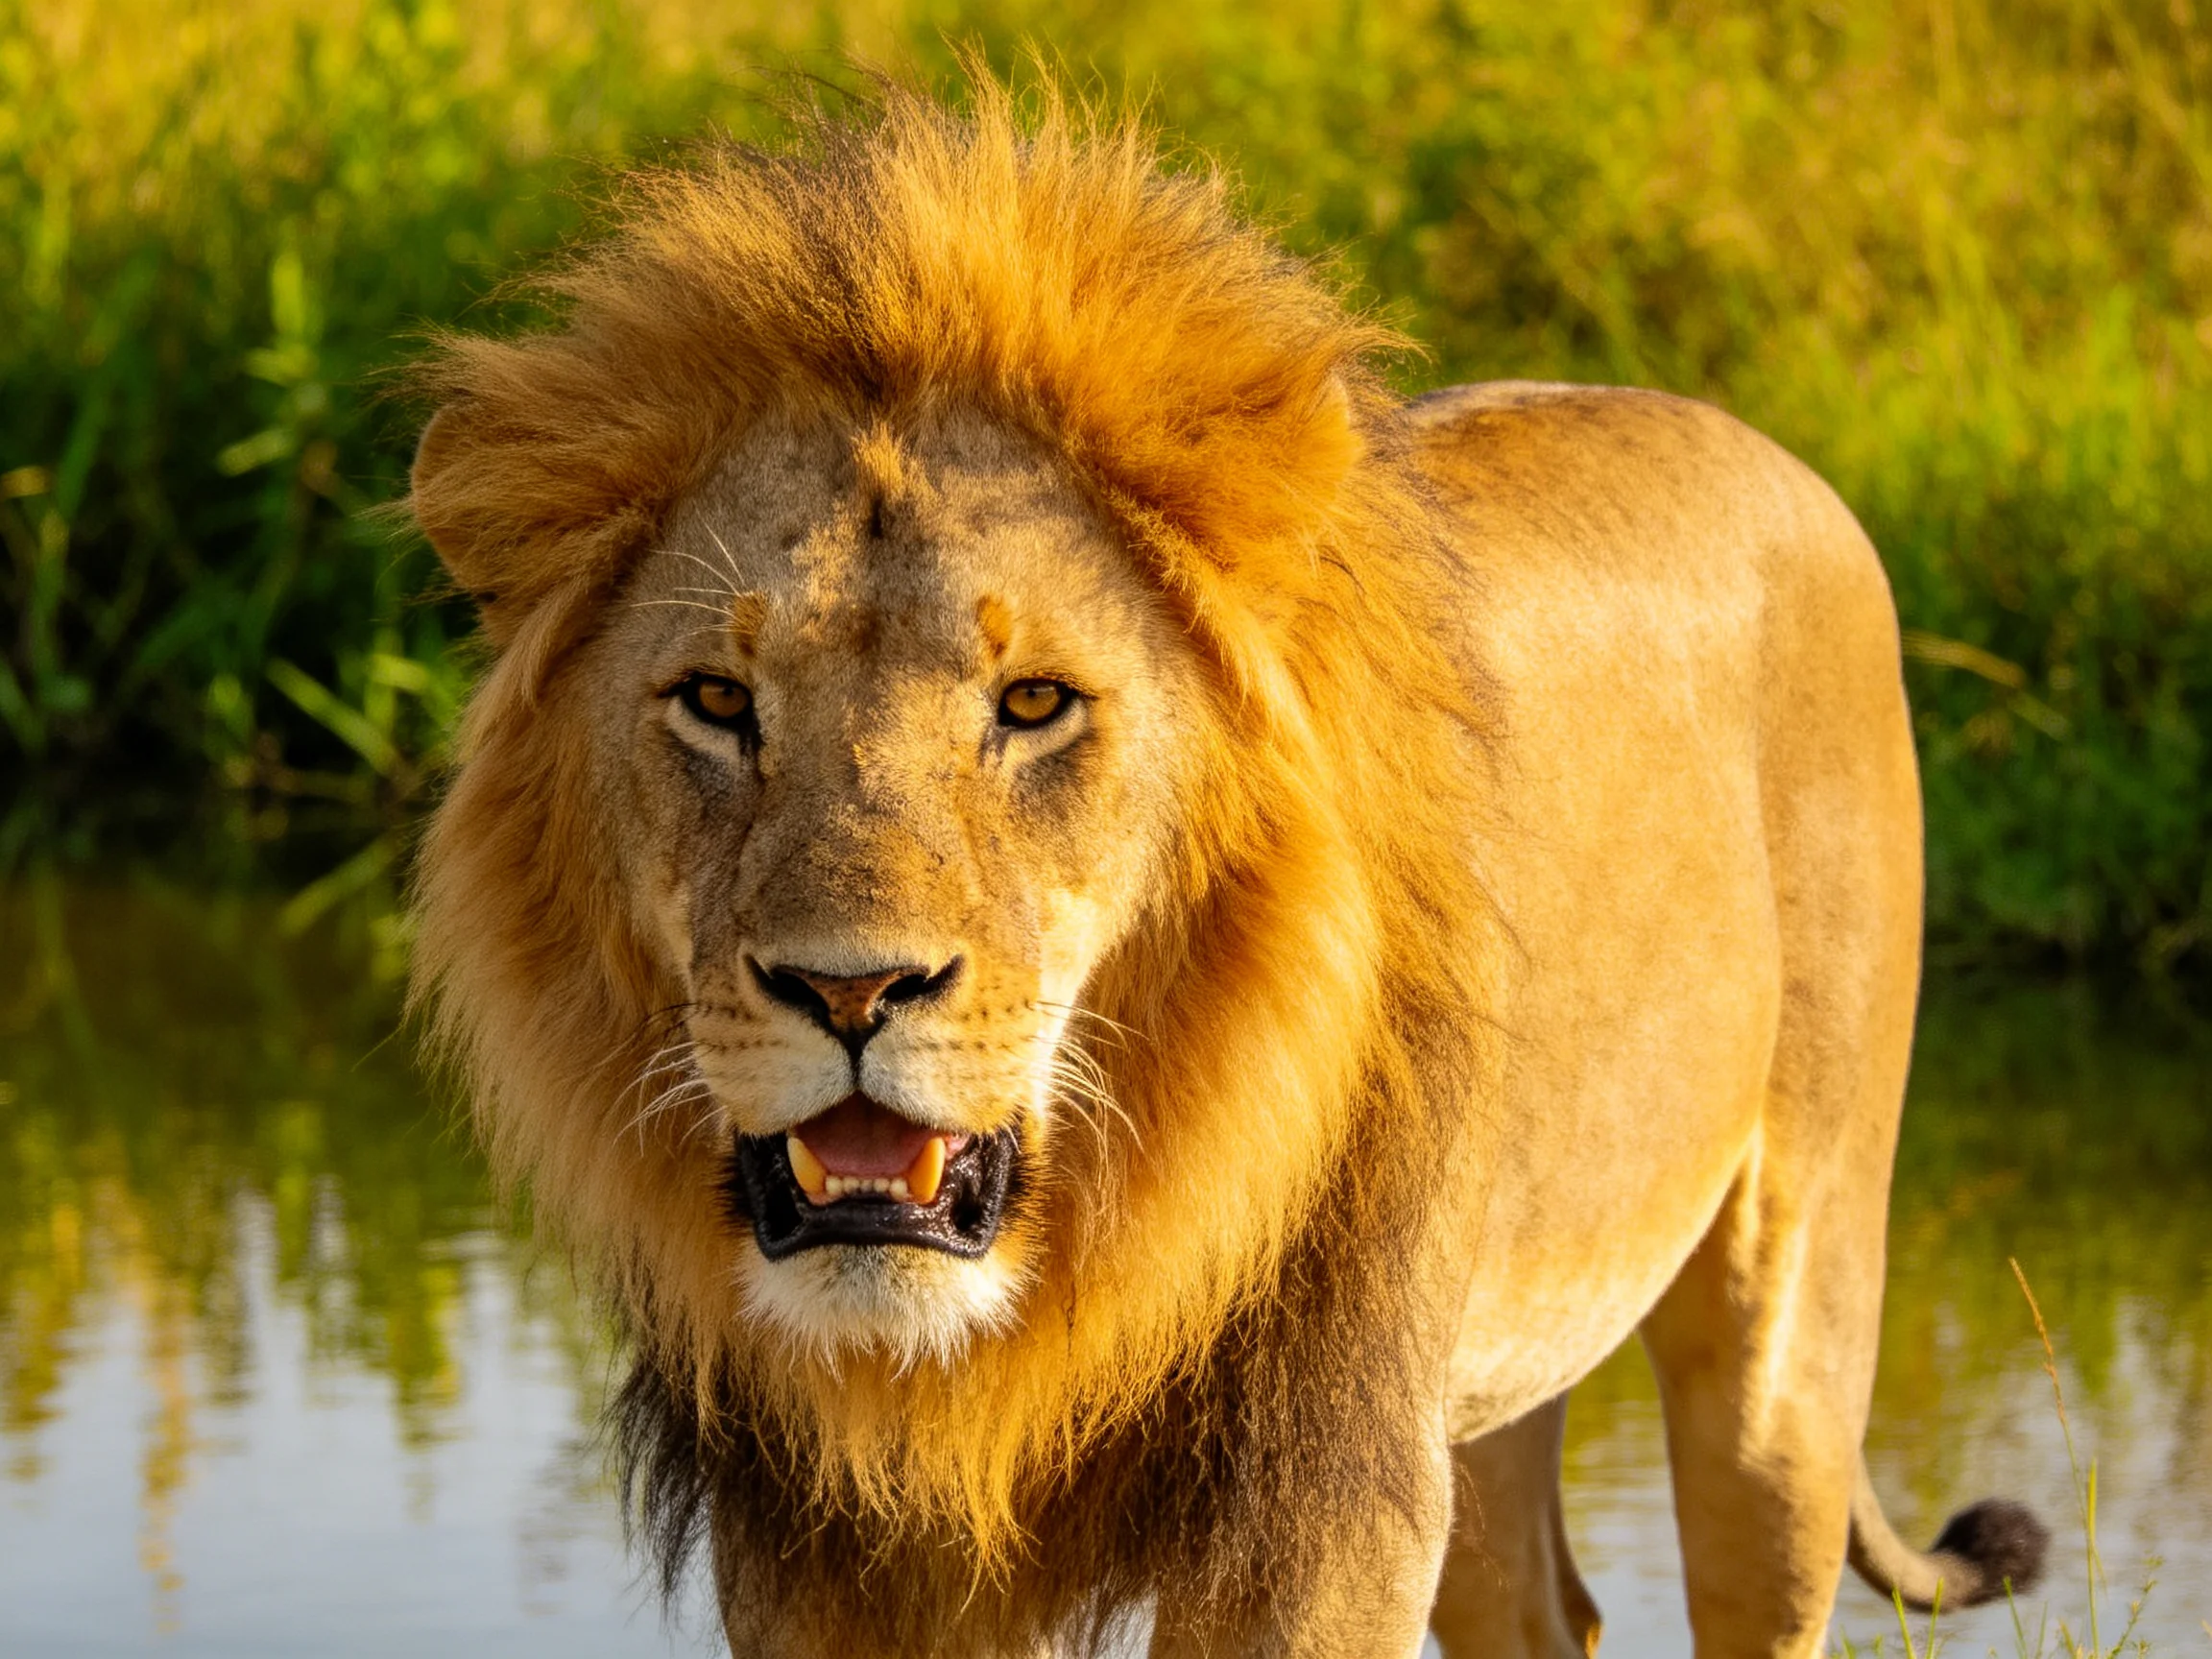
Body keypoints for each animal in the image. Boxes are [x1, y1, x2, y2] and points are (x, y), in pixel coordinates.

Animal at [403, 81, 2046, 1657]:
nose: (851, 990)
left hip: (1788, 1317)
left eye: (1033, 704)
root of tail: (1771, 453)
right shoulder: (822, 1537)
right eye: (717, 701)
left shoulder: (1322, 1507)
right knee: (1541, 1610)